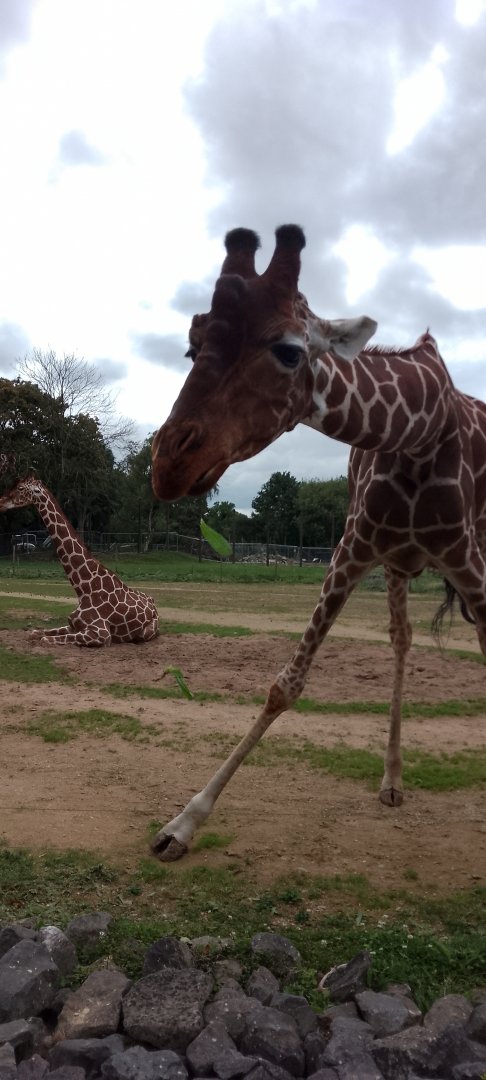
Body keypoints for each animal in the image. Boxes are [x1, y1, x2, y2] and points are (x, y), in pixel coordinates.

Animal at [0, 473, 159, 646]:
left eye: (20, 488)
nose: (1, 502)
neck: (83, 589)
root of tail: (153, 603)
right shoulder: (73, 625)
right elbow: (34, 633)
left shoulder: (101, 633)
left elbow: (44, 639)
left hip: (147, 632)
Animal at [149, 223, 486, 861]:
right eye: (191, 345)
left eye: (288, 350)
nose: (168, 464)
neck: (420, 430)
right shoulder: (354, 548)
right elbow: (285, 685)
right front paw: (182, 822)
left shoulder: (465, 556)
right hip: (399, 565)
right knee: (402, 640)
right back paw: (391, 780)